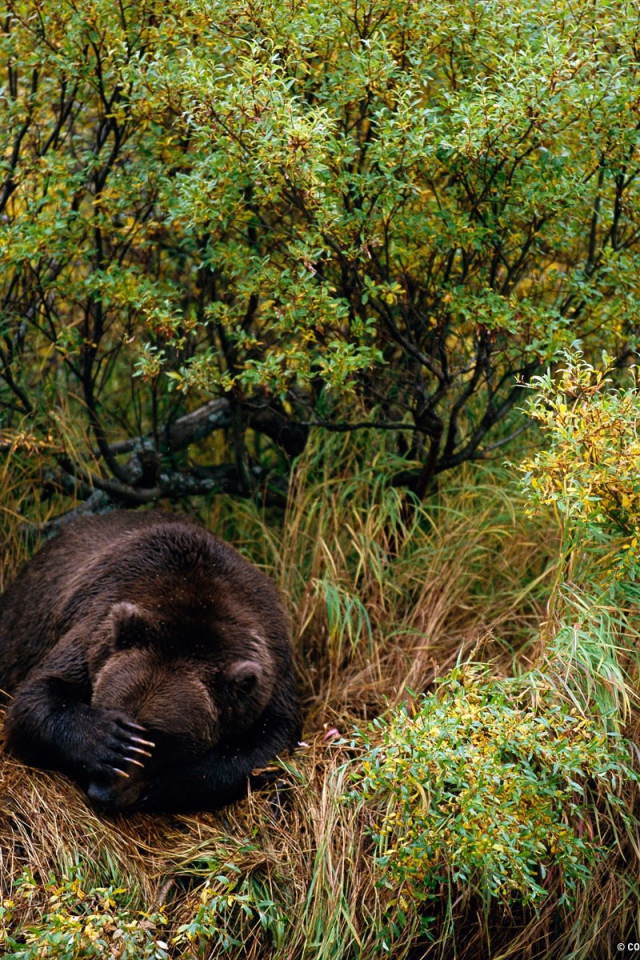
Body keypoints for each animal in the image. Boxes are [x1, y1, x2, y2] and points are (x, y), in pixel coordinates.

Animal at [0, 510, 301, 812]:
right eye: (110, 709)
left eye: (159, 737)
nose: (102, 792)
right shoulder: (96, 630)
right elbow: (37, 696)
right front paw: (107, 742)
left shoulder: (270, 668)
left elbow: (271, 740)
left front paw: (168, 784)